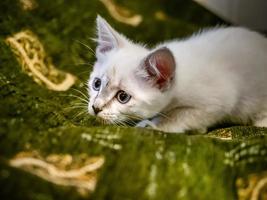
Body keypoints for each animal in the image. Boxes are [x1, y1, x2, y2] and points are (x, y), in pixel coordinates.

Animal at [88, 15, 267, 134]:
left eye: (123, 97)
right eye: (96, 84)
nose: (95, 107)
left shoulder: (220, 100)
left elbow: (182, 116)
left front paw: (155, 125)